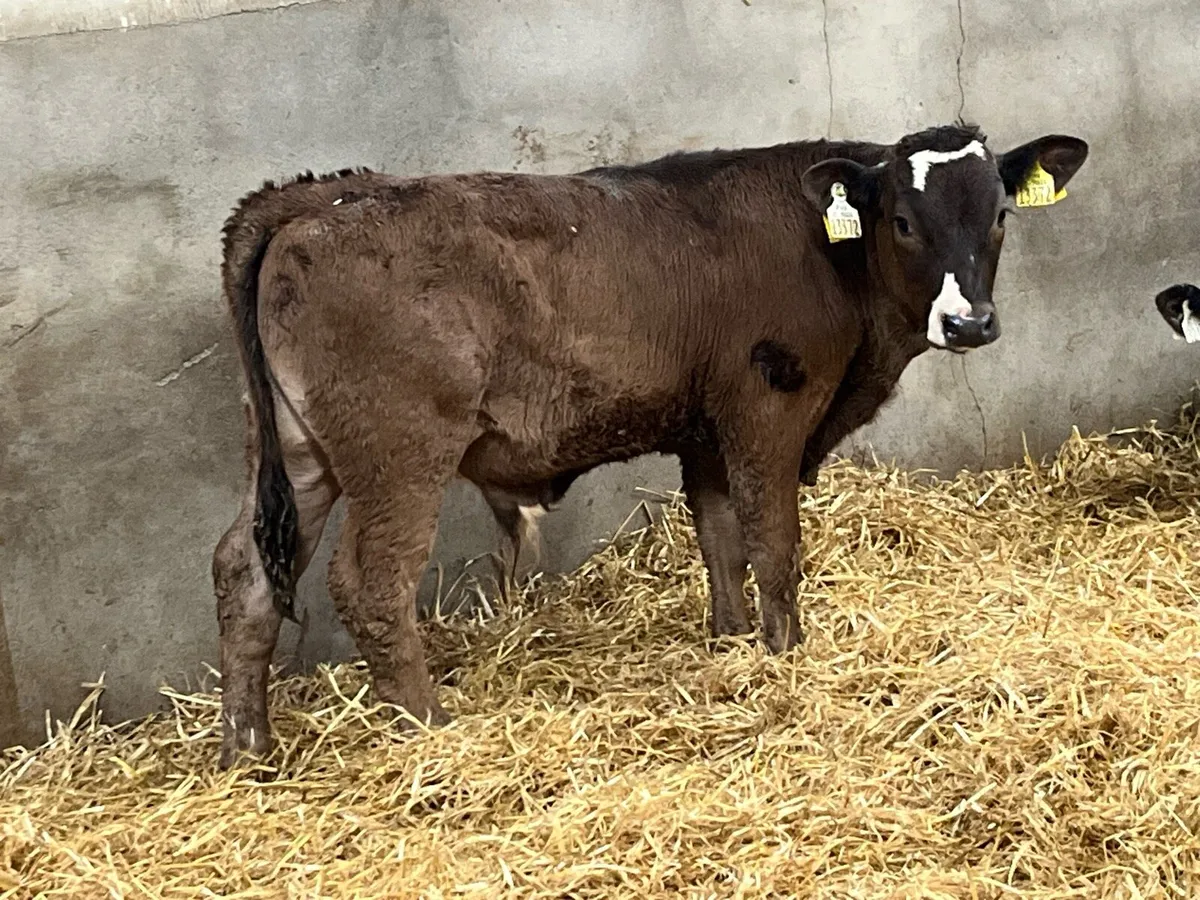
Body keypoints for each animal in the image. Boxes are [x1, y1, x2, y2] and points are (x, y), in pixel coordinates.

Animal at [212, 124, 1088, 768]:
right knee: (372, 583)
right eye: (904, 222)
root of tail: (315, 195)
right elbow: (773, 543)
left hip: (295, 450)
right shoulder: (767, 411)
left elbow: (718, 537)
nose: (970, 322)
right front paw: (786, 654)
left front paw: (730, 641)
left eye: (1000, 217)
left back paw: (248, 750)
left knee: (242, 572)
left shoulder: (704, 430)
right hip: (401, 457)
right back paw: (433, 728)